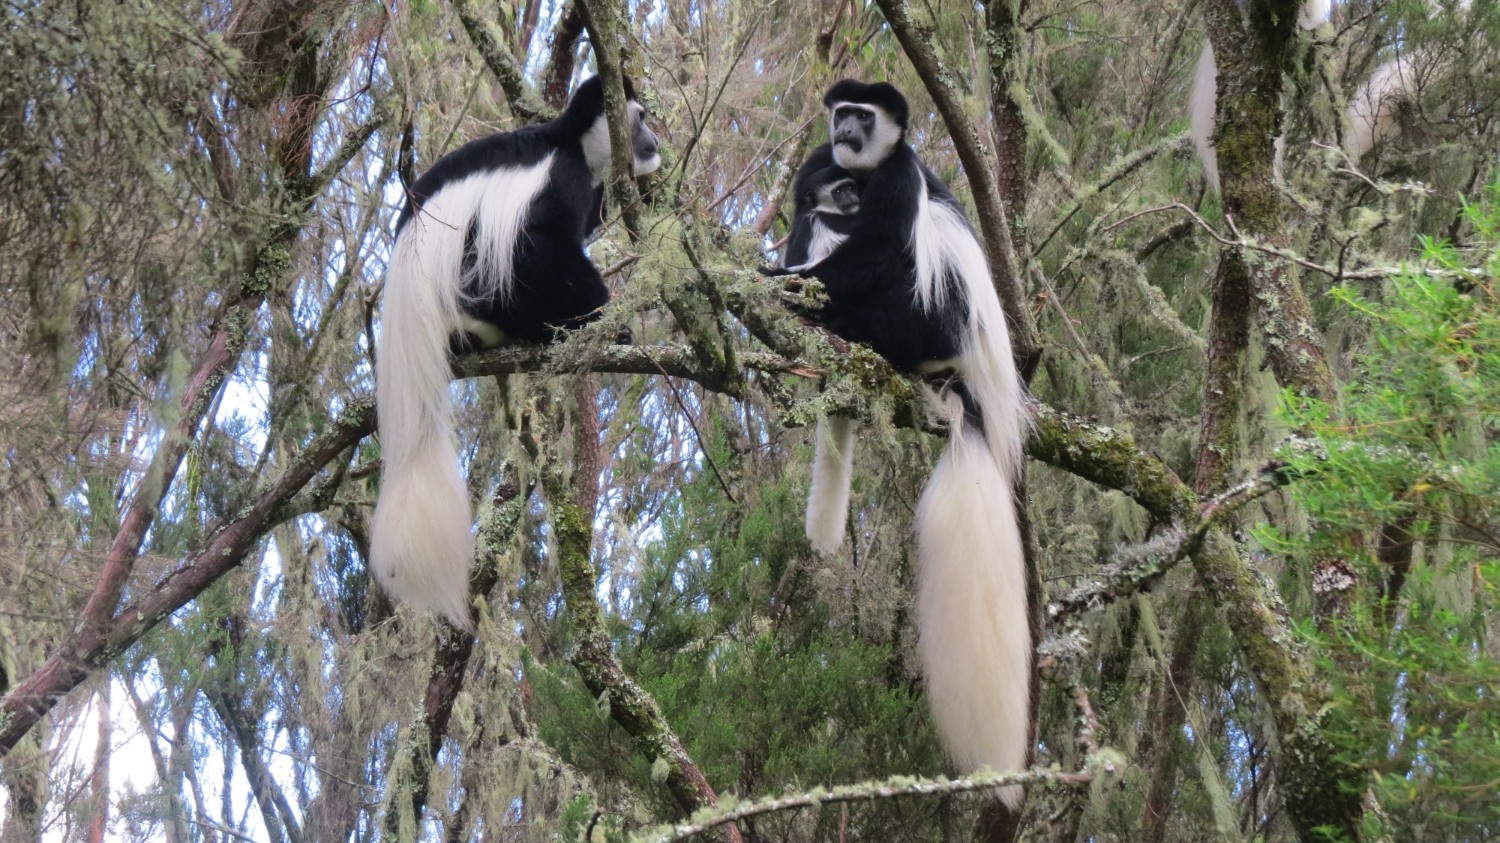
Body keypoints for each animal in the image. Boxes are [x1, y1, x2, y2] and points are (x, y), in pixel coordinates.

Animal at [372, 75, 660, 630]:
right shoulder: (559, 178)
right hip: (467, 282)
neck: (567, 141)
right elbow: (535, 244)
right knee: (505, 265)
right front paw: (608, 320)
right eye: (639, 120)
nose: (654, 142)